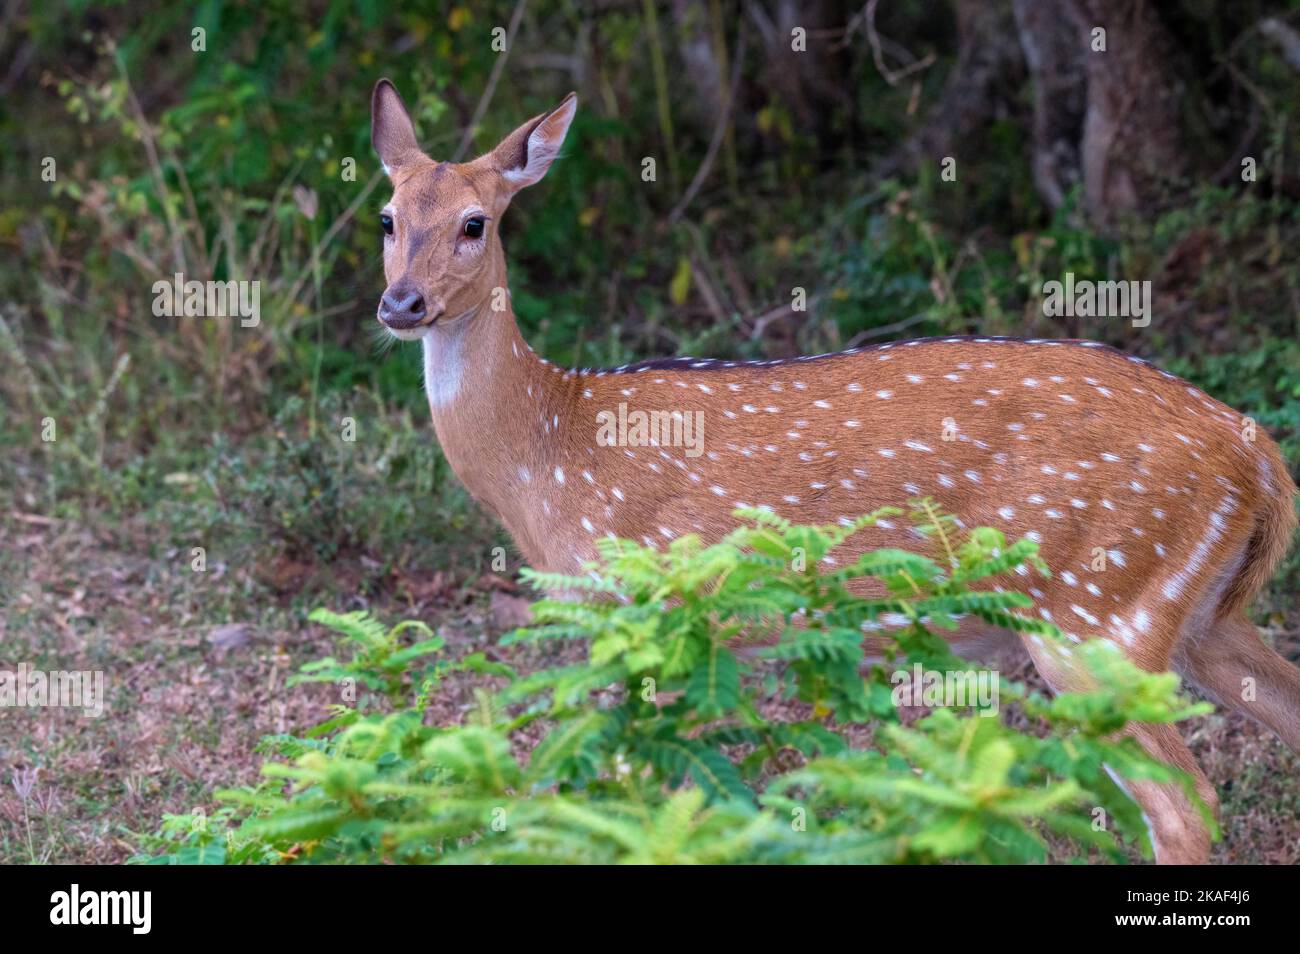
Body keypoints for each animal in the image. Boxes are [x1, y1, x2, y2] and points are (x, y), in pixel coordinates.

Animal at [371, 78, 1294, 863]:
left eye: (475, 223)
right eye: (386, 218)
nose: (401, 304)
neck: (550, 453)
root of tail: (1259, 455)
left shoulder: (656, 606)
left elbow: (644, 793)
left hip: (1095, 610)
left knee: (1184, 805)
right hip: (1197, 615)